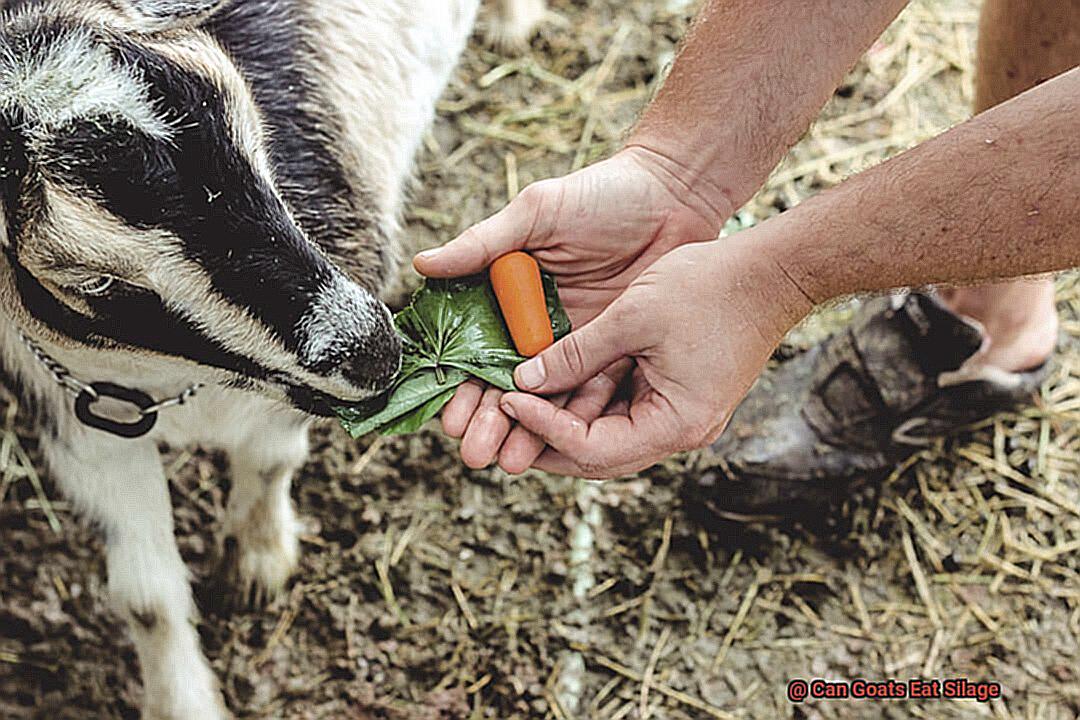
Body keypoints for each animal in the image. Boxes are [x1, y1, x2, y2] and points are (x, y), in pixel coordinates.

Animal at [0, 1, 540, 716]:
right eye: (98, 283)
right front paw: (184, 699)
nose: (372, 349)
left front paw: (257, 563)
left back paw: (513, 23)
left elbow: (269, 458)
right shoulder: (75, 415)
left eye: (251, 141)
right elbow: (145, 596)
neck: (176, 379)